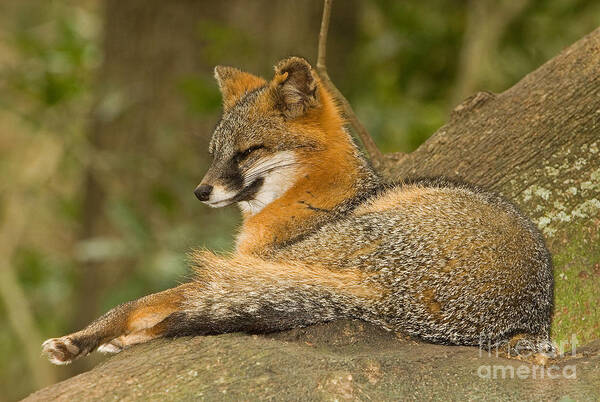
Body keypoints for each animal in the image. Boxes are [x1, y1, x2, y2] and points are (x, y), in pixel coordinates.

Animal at [42, 55, 552, 364]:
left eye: (248, 152)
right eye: (214, 153)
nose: (201, 192)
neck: (314, 196)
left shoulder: (262, 265)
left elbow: (144, 301)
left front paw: (84, 338)